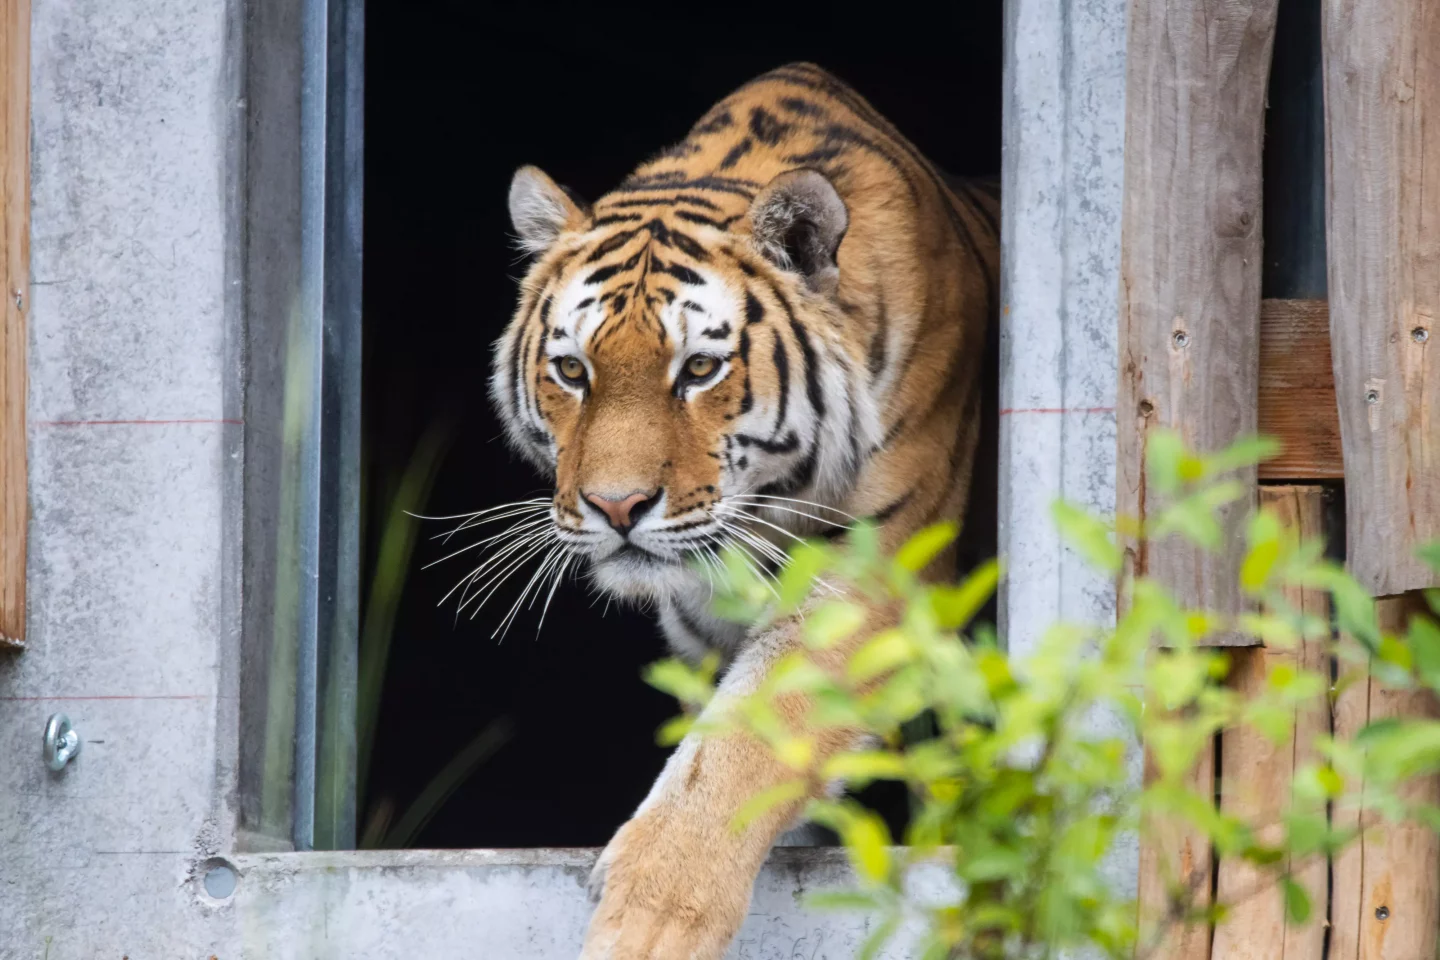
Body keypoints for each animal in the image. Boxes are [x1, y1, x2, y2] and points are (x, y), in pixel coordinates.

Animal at [491, 62, 998, 959]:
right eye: (573, 371)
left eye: (698, 369)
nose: (615, 505)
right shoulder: (702, 633)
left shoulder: (871, 582)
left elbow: (737, 752)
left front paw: (649, 921)